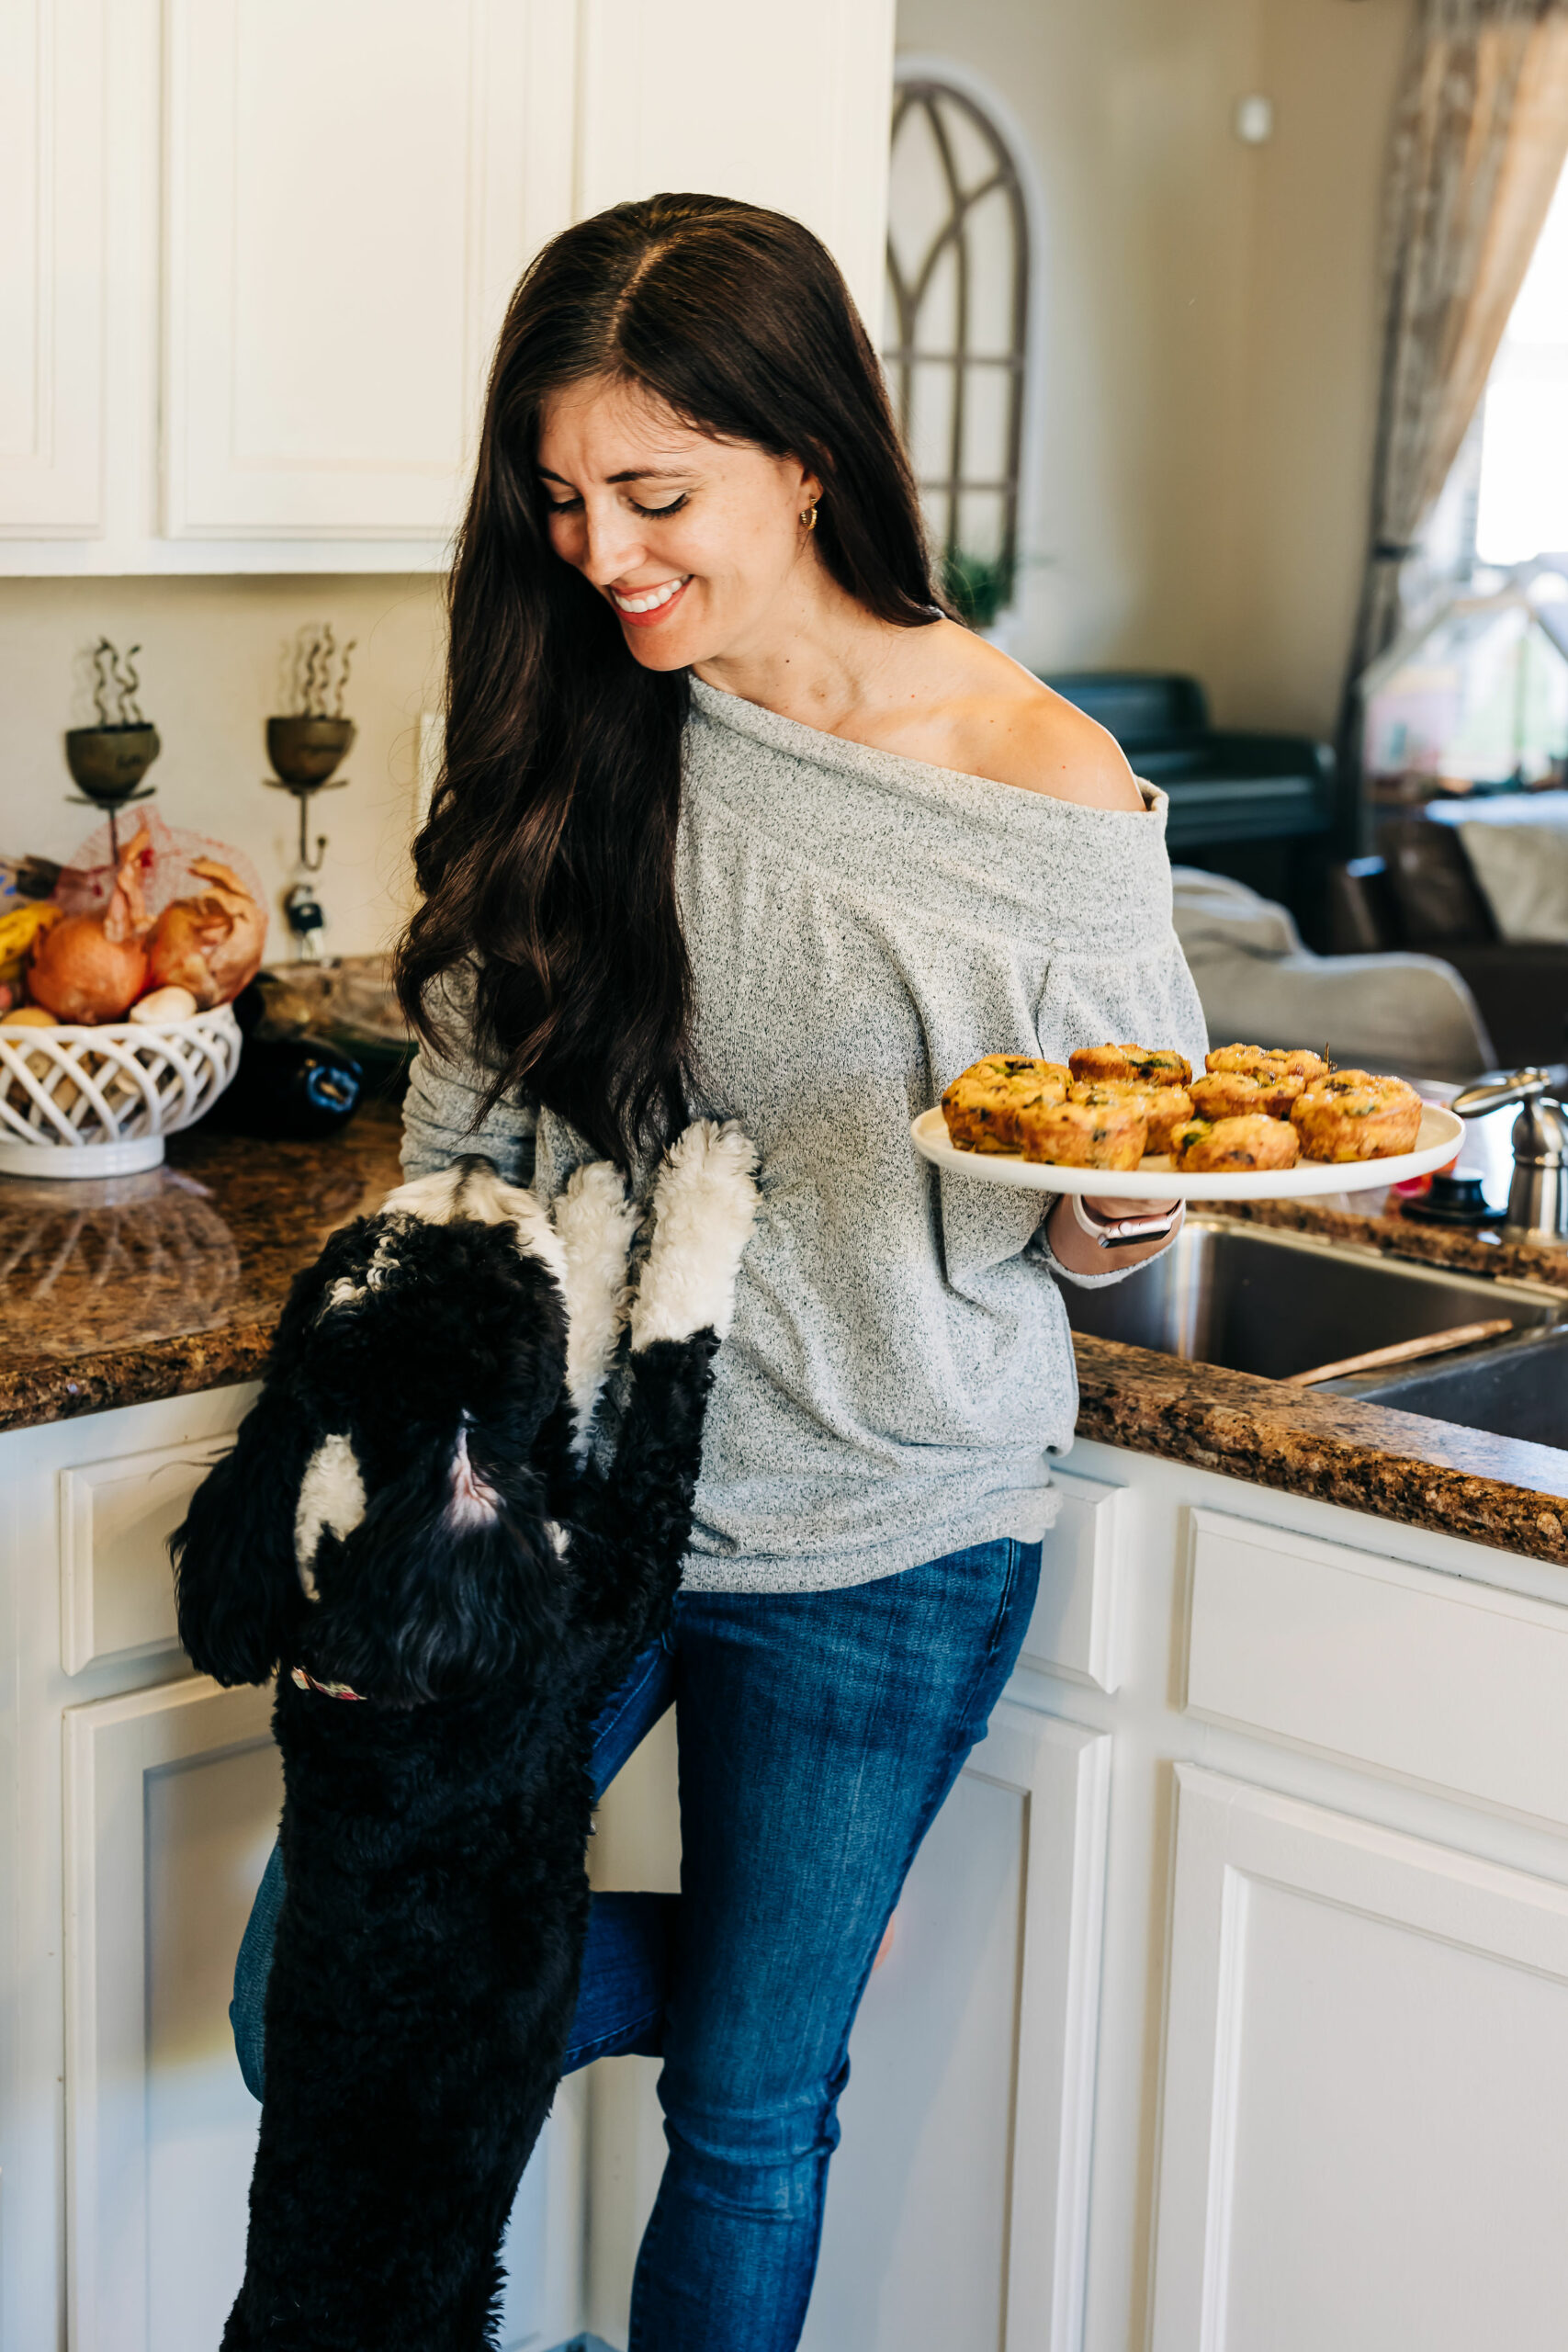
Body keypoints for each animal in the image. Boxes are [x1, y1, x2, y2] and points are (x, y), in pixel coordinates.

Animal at [171, 1119, 761, 2352]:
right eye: (499, 1296)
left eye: (364, 1240)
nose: (480, 1170)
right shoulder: (611, 1595)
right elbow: (652, 1389)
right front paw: (692, 1196)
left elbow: (575, 1405)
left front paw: (593, 1204)